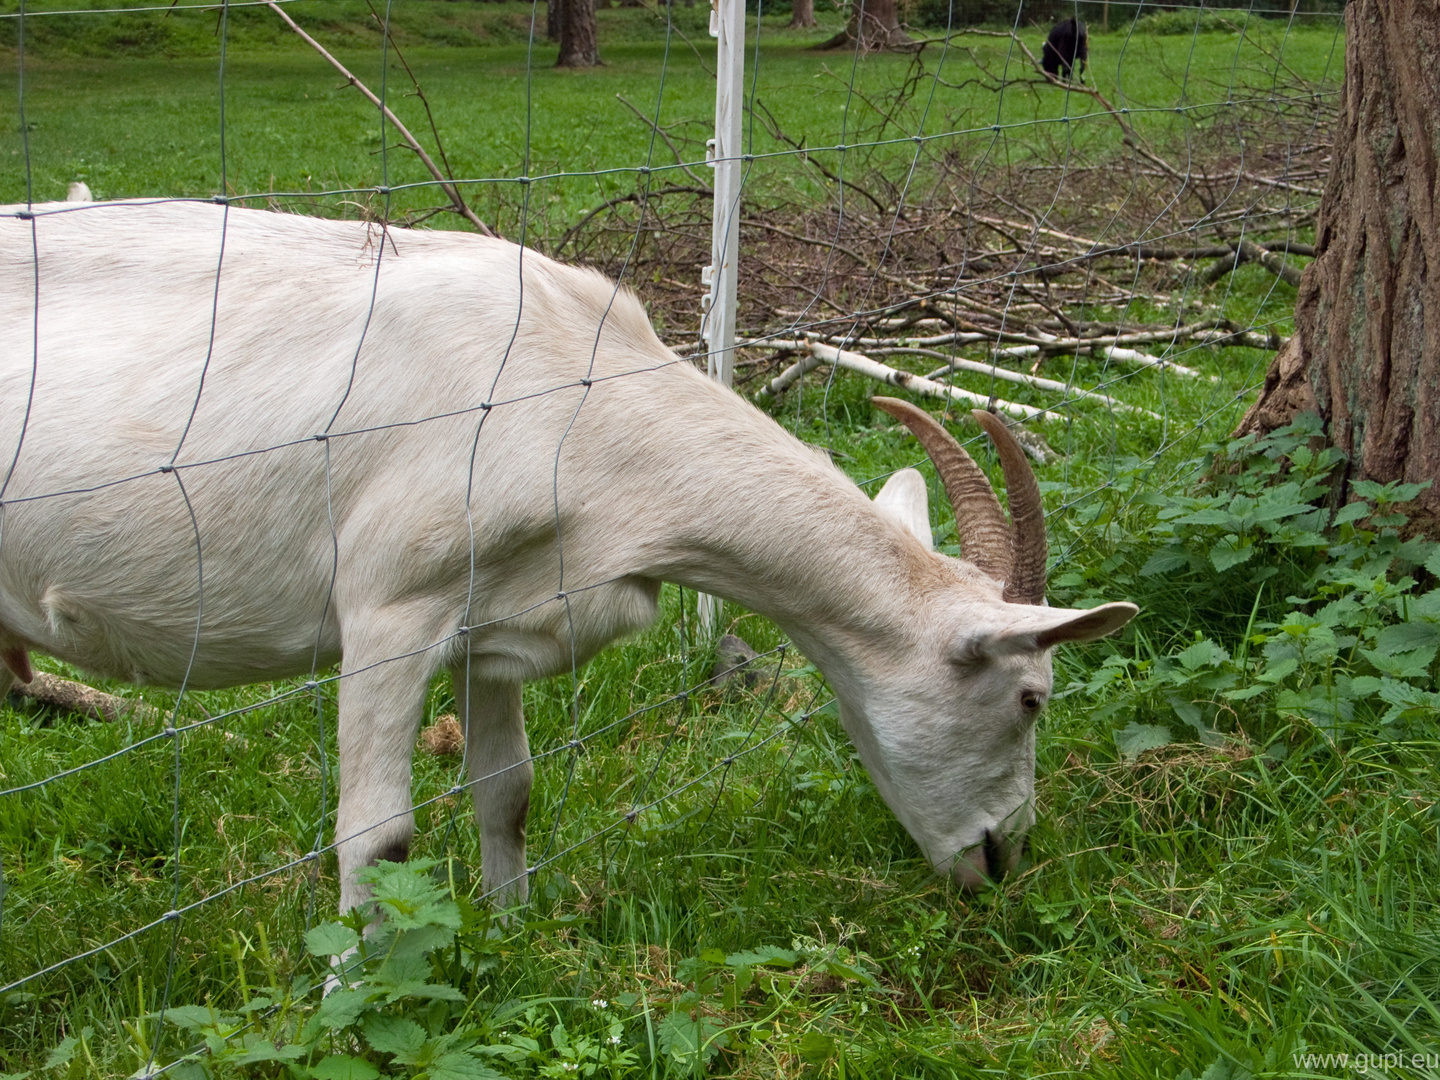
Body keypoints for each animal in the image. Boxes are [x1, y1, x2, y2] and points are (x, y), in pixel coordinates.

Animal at [0, 198, 1134, 910]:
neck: (572, 395)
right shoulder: (390, 609)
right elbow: (377, 835)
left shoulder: (491, 617)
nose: (1003, 856)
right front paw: (353, 1005)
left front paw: (514, 934)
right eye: (1031, 696)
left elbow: (509, 791)